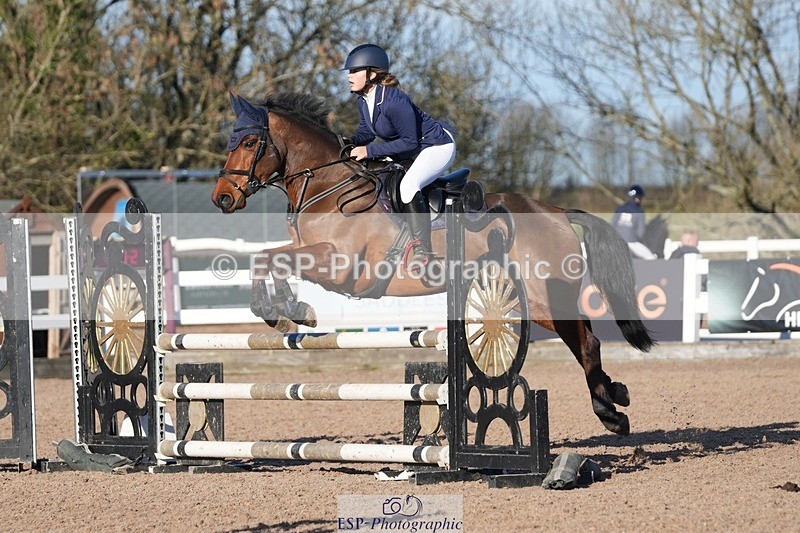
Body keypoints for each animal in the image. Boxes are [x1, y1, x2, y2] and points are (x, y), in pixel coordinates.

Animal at [212, 92, 655, 436]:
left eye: (249, 142)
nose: (222, 198)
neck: (328, 186)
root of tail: (557, 211)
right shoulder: (312, 253)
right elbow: (267, 258)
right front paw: (289, 310)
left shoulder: (342, 268)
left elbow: (276, 259)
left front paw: (287, 312)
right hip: (543, 301)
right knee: (584, 340)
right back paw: (615, 397)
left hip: (545, 296)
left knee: (587, 342)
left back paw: (610, 414)